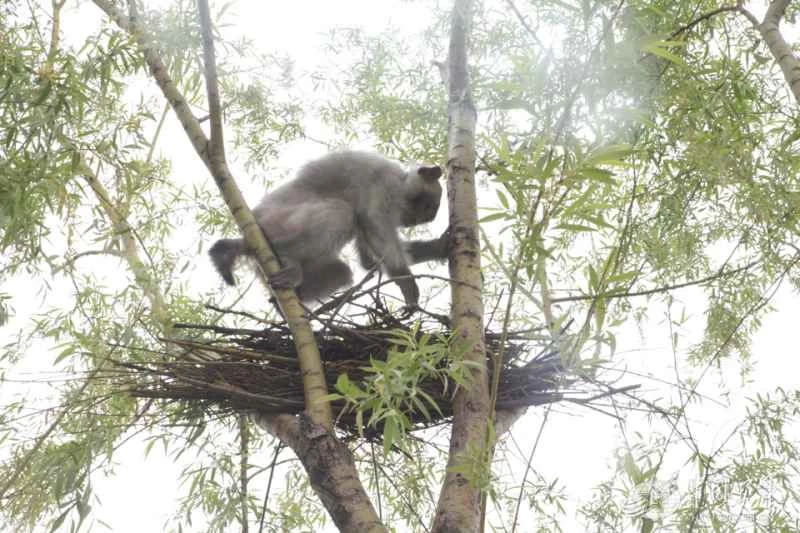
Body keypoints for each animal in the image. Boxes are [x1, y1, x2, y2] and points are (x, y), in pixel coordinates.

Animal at [208, 151, 449, 307]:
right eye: (429, 207)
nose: (425, 219)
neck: (401, 180)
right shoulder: (384, 185)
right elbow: (373, 223)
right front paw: (407, 284)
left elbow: (368, 261)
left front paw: (438, 248)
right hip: (275, 223)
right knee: (341, 213)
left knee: (342, 271)